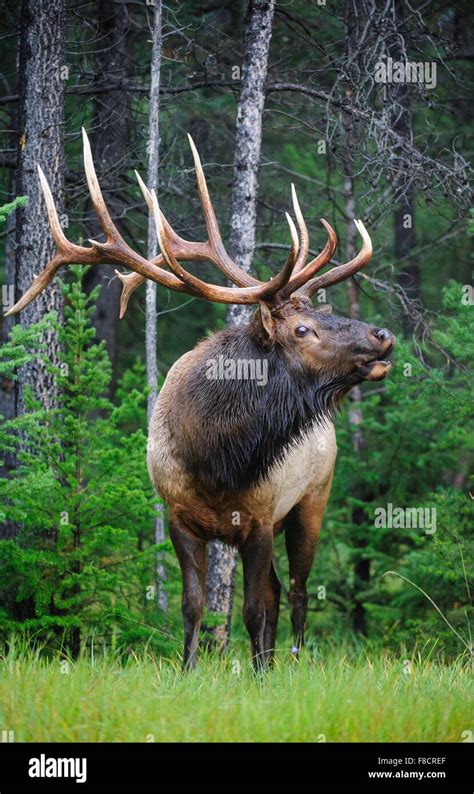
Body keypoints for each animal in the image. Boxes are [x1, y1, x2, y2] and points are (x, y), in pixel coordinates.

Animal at [8, 128, 396, 668]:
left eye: (324, 312)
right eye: (304, 328)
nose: (383, 335)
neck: (215, 457)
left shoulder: (259, 519)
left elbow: (252, 608)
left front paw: (256, 674)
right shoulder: (179, 517)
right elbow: (193, 607)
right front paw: (190, 669)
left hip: (312, 501)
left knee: (298, 591)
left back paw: (289, 662)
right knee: (283, 590)